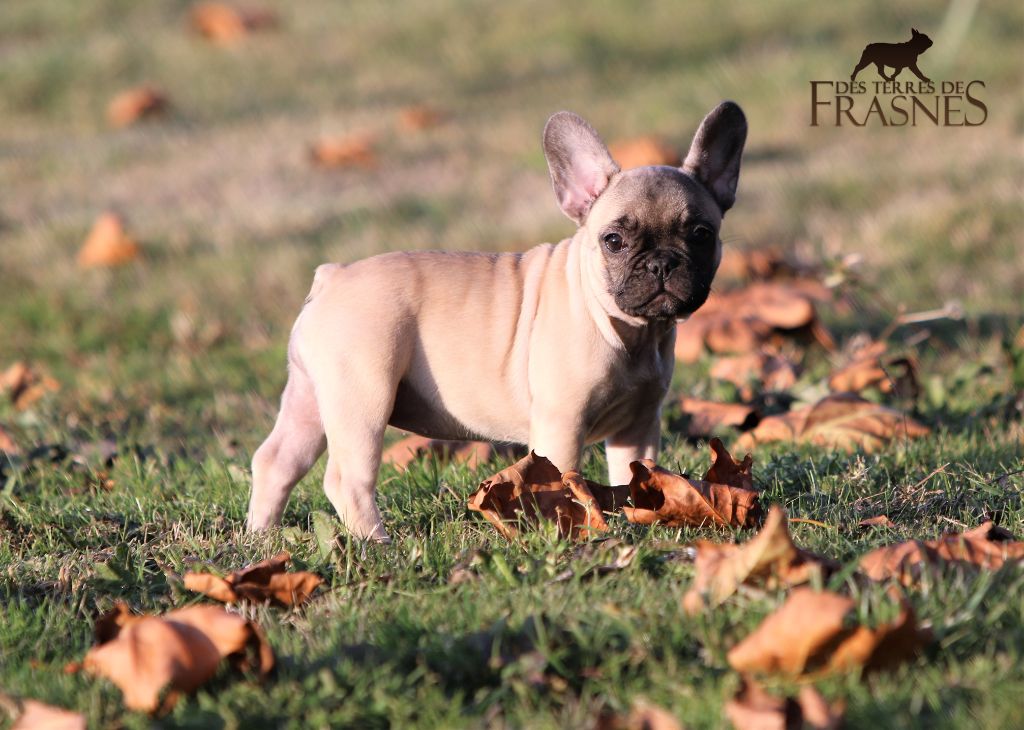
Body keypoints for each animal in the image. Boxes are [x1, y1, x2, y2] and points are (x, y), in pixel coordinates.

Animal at [247, 99, 745, 536]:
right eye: (614, 241)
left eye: (701, 235)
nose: (662, 263)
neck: (629, 332)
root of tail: (332, 276)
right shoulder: (562, 426)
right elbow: (565, 482)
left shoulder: (638, 426)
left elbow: (632, 477)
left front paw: (643, 516)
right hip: (361, 396)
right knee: (346, 479)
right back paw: (376, 542)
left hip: (310, 397)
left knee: (276, 461)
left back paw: (261, 536)